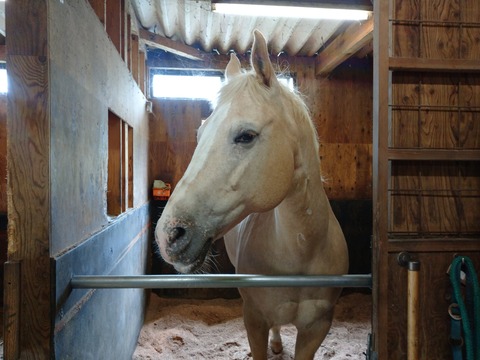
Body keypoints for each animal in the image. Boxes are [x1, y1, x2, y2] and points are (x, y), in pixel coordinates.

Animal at [158, 29, 348, 358]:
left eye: (246, 136)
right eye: (200, 134)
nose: (168, 235)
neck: (303, 250)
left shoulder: (317, 328)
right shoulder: (254, 319)